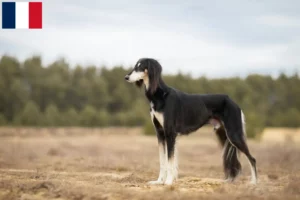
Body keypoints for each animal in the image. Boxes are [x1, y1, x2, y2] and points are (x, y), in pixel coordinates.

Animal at [124, 57, 258, 186]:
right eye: (135, 66)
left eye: (141, 67)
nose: (126, 77)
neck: (160, 95)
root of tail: (233, 102)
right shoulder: (160, 133)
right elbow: (163, 160)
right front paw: (159, 181)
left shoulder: (170, 133)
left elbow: (170, 160)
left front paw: (168, 182)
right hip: (224, 135)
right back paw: (229, 180)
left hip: (233, 134)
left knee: (252, 159)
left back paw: (254, 182)